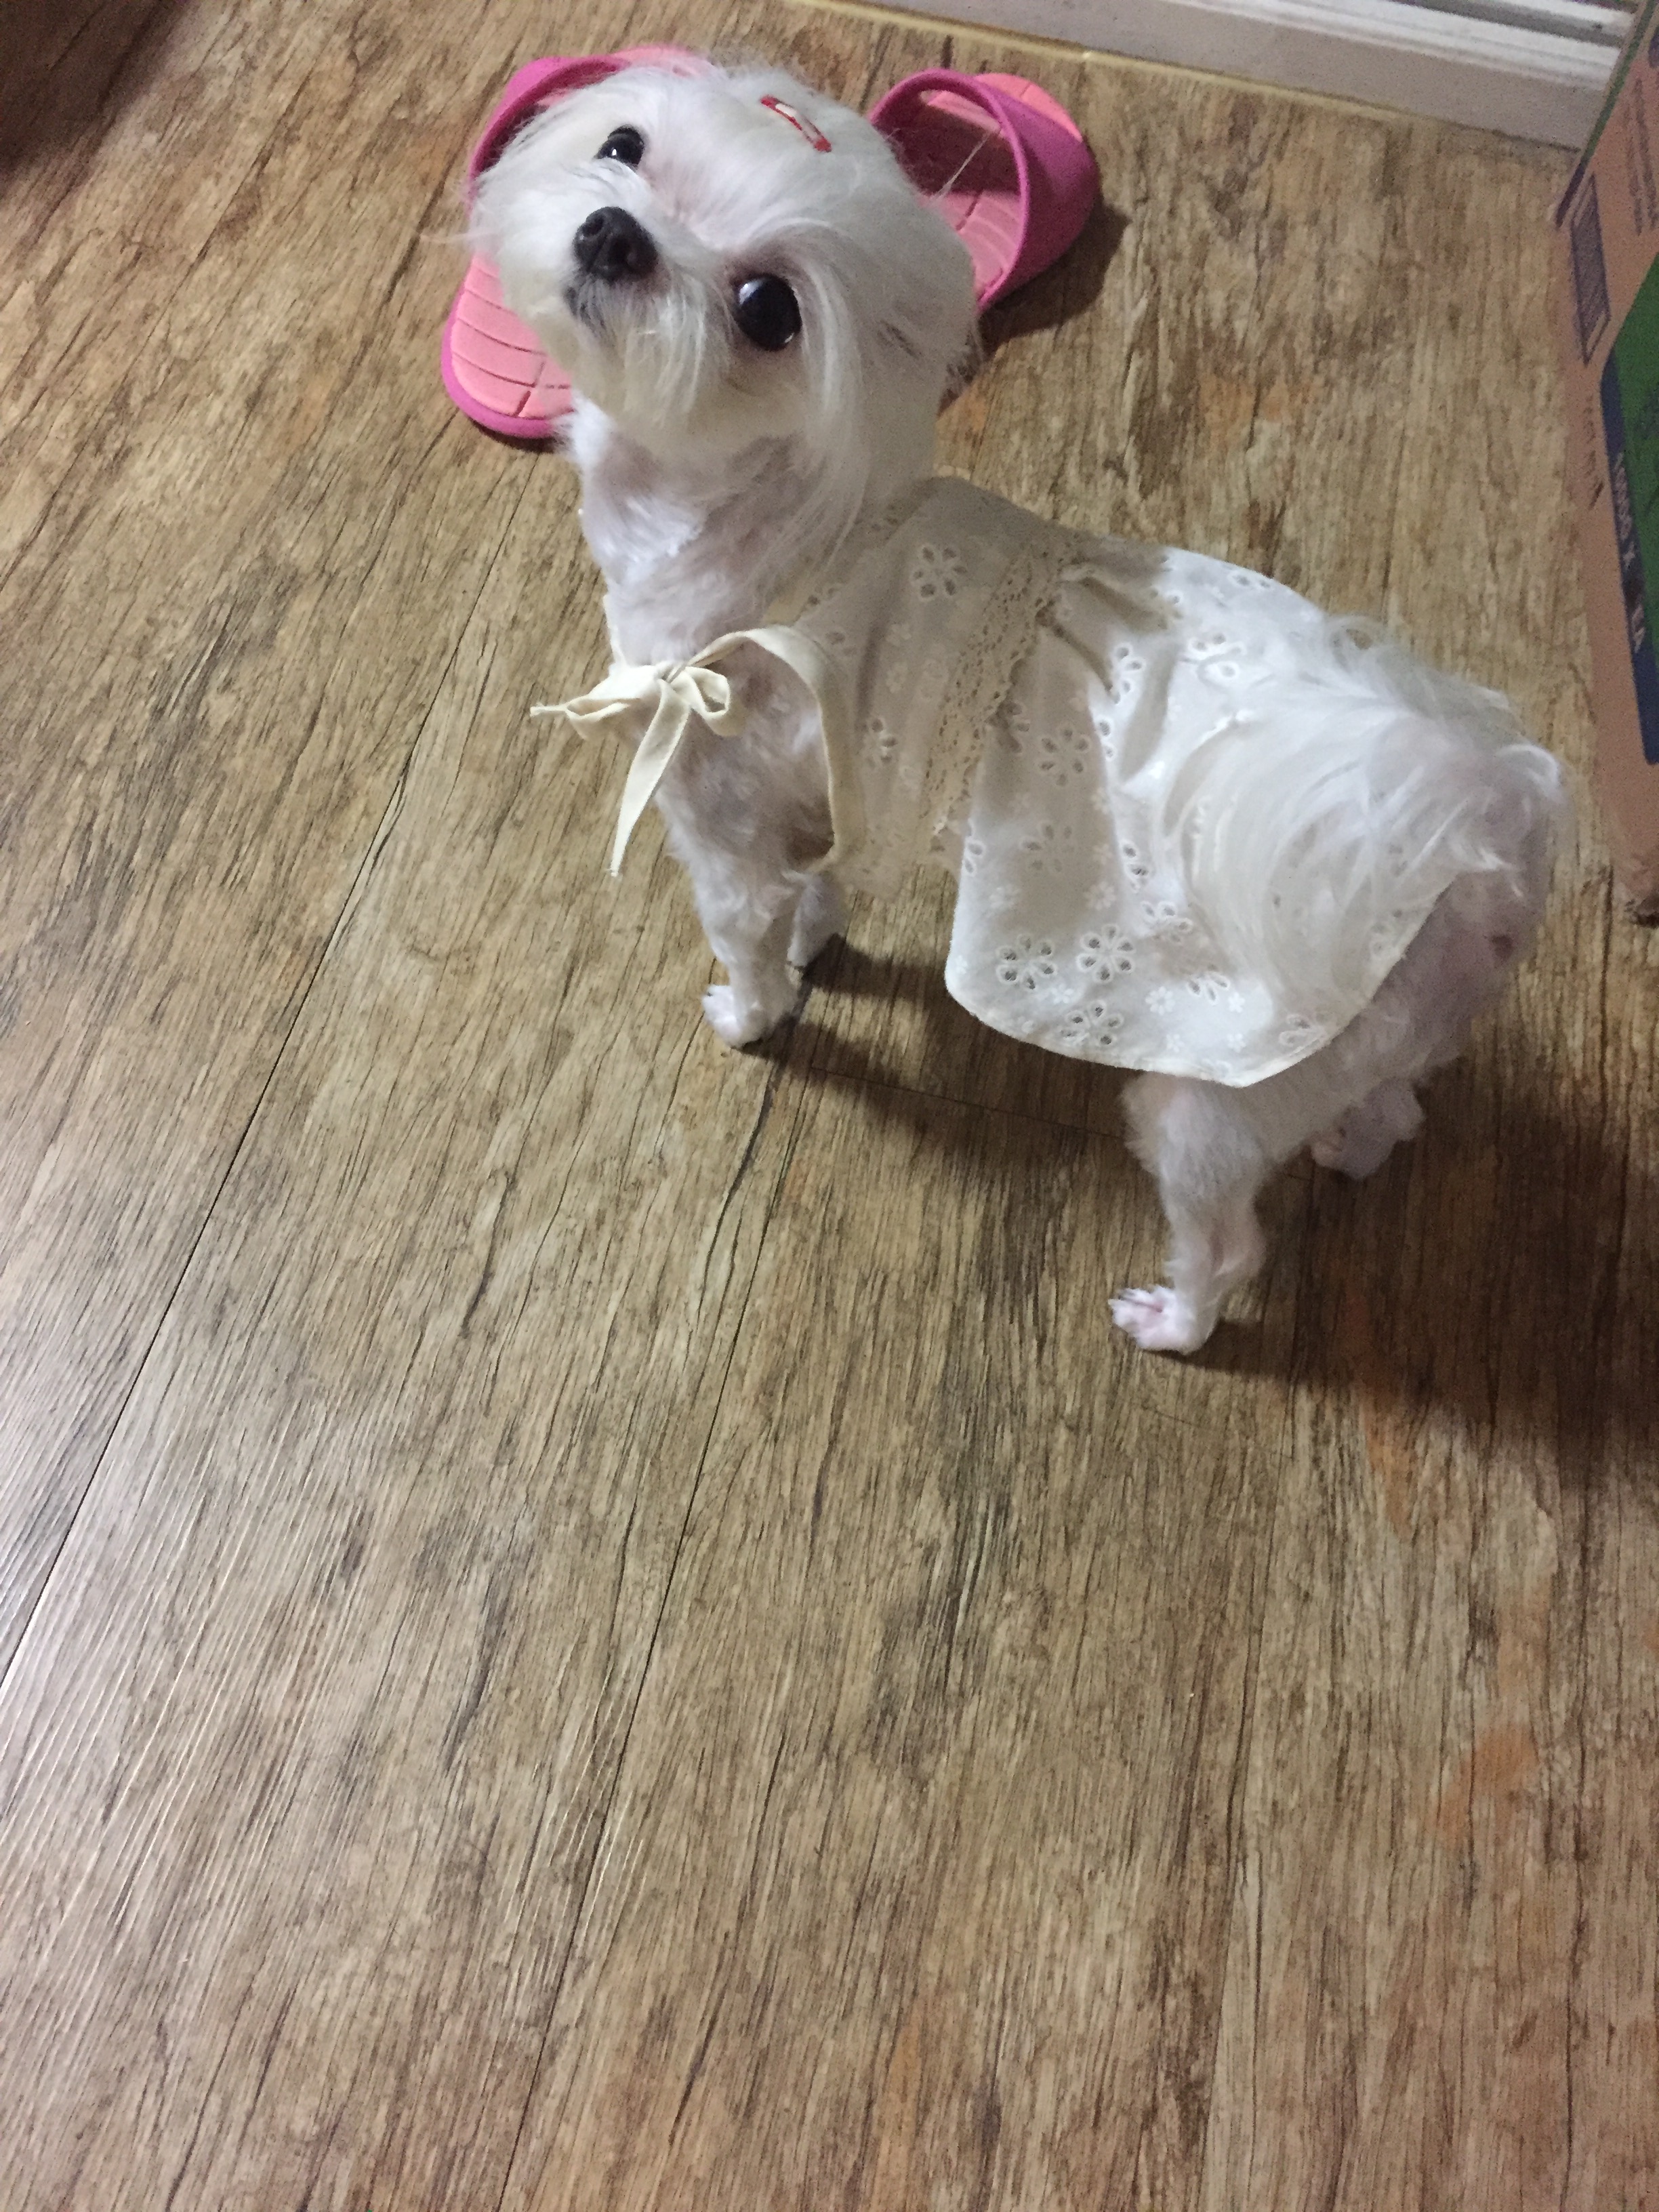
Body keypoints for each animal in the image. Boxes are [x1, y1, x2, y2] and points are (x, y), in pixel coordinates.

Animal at [471, 58, 1566, 1352]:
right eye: (624, 146)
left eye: (766, 309)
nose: (614, 233)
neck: (753, 527)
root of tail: (1485, 829)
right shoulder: (828, 789)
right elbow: (822, 882)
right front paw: (819, 934)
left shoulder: (723, 817)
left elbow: (747, 933)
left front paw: (751, 1012)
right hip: (1381, 1034)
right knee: (1393, 1102)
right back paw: (1354, 1144)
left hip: (1213, 1097)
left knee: (1228, 1241)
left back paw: (1174, 1320)